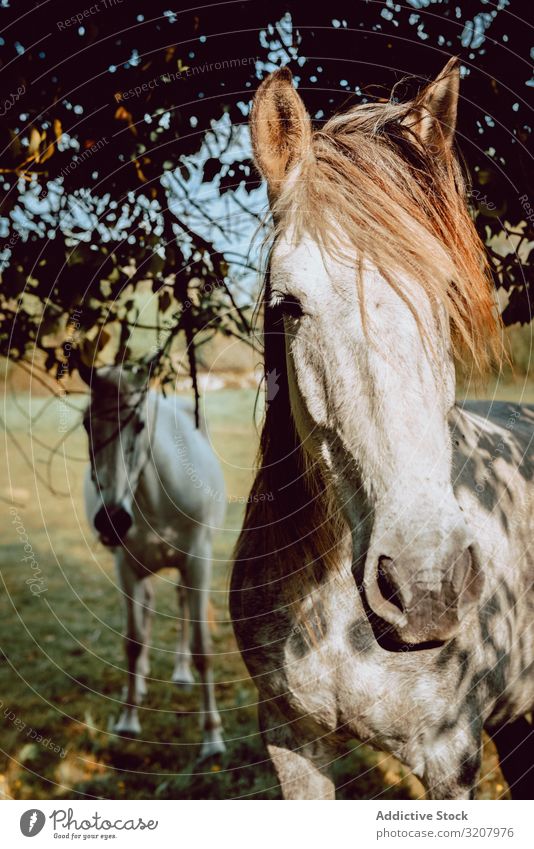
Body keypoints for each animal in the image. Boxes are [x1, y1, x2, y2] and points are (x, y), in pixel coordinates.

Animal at [79, 362, 226, 760]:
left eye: (140, 424)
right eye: (86, 424)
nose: (112, 520)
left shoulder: (198, 562)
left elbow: (203, 648)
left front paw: (212, 737)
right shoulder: (126, 567)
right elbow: (132, 642)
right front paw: (128, 720)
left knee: (180, 606)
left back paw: (181, 673)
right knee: (145, 611)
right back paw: (142, 681)